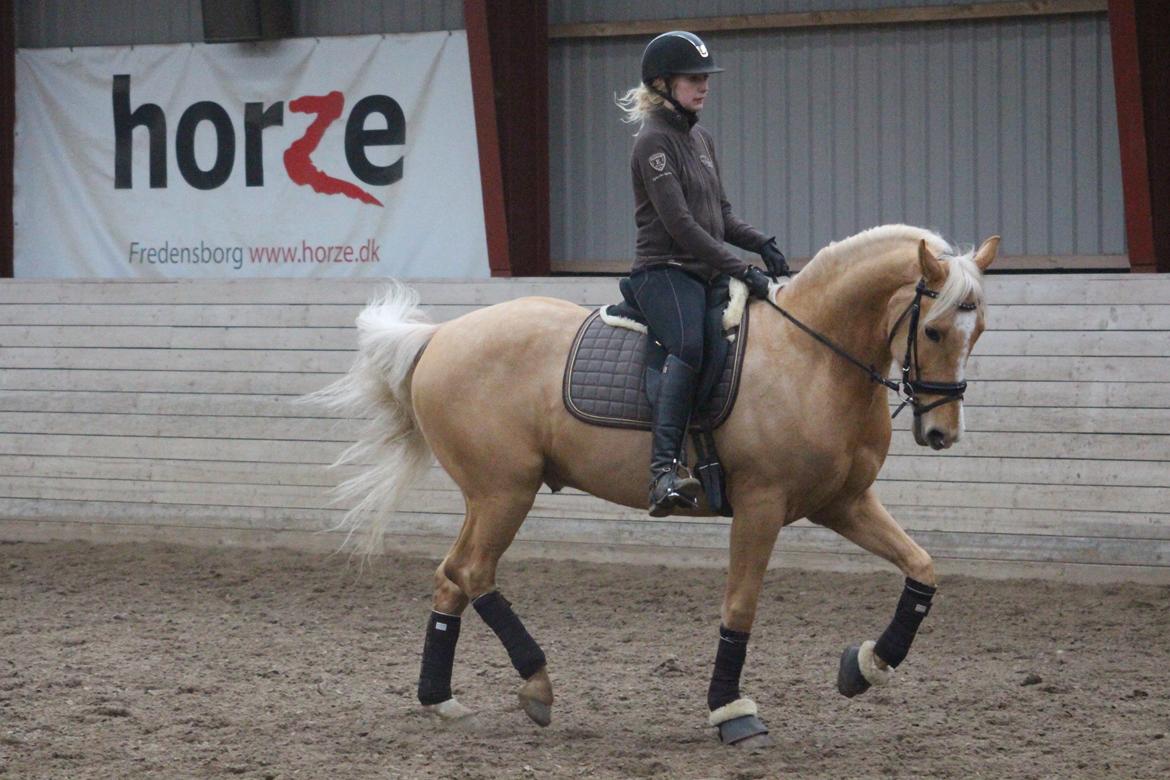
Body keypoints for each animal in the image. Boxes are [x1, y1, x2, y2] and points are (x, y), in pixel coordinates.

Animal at [318, 224, 996, 743]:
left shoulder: (842, 503)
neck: (813, 358)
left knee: (450, 577)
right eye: (934, 330)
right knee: (473, 572)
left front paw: (867, 666)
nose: (941, 432)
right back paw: (536, 682)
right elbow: (740, 605)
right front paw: (731, 710)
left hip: (486, 496)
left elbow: (922, 567)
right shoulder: (763, 505)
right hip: (505, 492)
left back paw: (440, 698)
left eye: (979, 330)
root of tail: (439, 337)